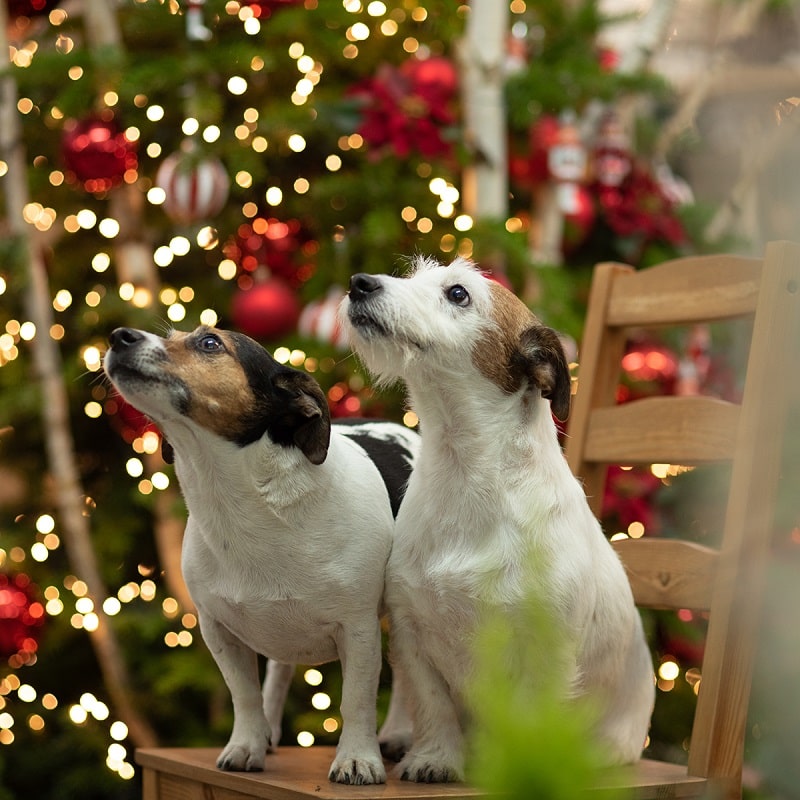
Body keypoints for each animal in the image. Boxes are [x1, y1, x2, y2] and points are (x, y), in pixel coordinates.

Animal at [103, 324, 418, 780]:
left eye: (210, 343)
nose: (118, 336)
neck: (246, 504)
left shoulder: (358, 630)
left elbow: (357, 700)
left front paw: (358, 758)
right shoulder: (218, 630)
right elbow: (245, 695)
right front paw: (247, 744)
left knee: (407, 675)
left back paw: (397, 733)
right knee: (280, 673)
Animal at [340, 258, 656, 780]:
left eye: (458, 293)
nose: (358, 284)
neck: (467, 477)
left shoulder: (544, 654)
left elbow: (528, 721)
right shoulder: (412, 635)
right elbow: (433, 706)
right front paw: (435, 757)